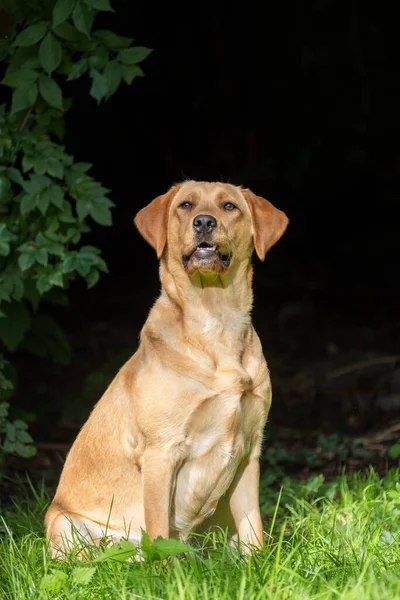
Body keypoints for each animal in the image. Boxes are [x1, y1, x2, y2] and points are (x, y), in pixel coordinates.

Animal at [45, 180, 288, 556]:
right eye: (186, 205)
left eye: (229, 206)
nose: (204, 222)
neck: (215, 322)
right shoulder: (161, 452)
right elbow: (159, 532)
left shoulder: (249, 450)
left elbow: (254, 529)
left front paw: (256, 564)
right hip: (63, 523)